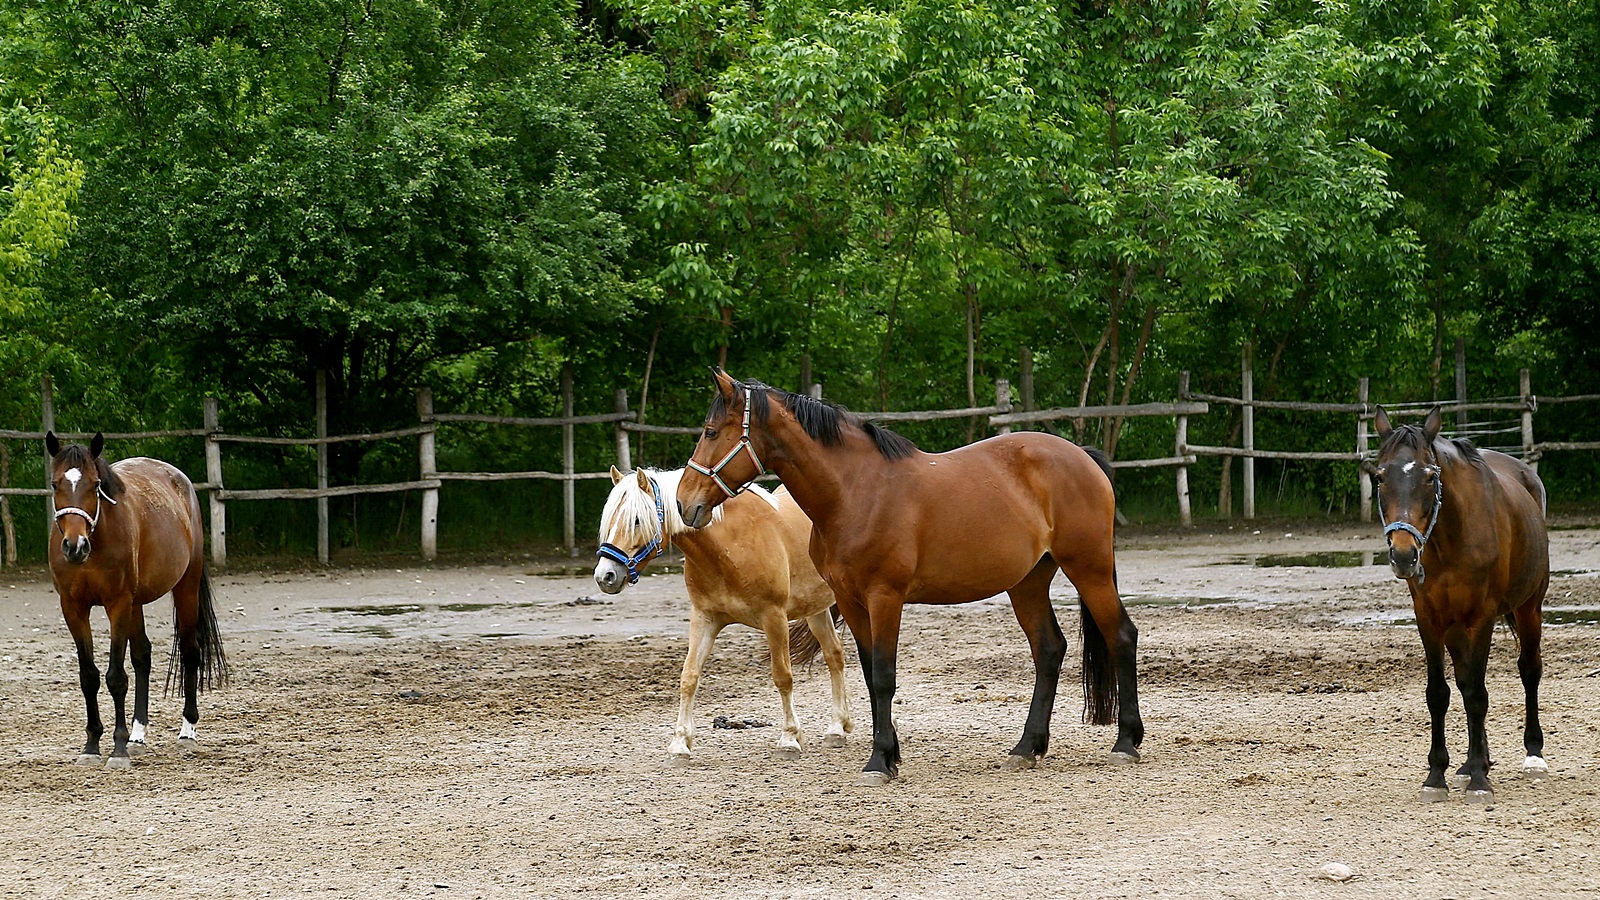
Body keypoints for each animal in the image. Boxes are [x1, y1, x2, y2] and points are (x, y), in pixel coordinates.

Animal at [45, 432, 227, 768]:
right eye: (55, 484)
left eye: (95, 485)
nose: (75, 546)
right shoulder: (73, 608)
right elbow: (89, 676)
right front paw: (92, 745)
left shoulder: (117, 604)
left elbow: (116, 677)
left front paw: (117, 750)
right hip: (136, 603)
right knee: (143, 655)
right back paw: (138, 735)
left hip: (184, 588)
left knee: (190, 652)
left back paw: (187, 731)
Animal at [595, 464, 851, 759]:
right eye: (609, 520)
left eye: (636, 520)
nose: (605, 576)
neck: (729, 546)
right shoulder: (704, 618)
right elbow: (689, 676)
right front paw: (680, 743)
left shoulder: (774, 617)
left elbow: (782, 676)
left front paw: (789, 738)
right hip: (815, 610)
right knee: (834, 655)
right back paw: (837, 728)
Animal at [675, 368, 1139, 781]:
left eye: (711, 432)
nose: (684, 503)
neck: (855, 491)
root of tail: (1081, 456)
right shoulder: (850, 601)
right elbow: (867, 674)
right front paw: (889, 751)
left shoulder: (885, 596)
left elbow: (884, 675)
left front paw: (880, 760)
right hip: (1027, 583)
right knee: (1049, 649)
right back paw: (1027, 747)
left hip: (1089, 568)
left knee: (1120, 636)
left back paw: (1126, 742)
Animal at [1363, 406, 1548, 797]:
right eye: (1380, 477)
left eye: (1430, 477)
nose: (1404, 555)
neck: (1451, 536)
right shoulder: (1429, 619)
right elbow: (1442, 693)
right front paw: (1438, 775)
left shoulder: (1482, 617)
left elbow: (1478, 694)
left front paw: (1479, 779)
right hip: (1456, 627)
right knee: (1464, 681)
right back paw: (1473, 761)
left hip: (1529, 608)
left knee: (1529, 670)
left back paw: (1533, 755)